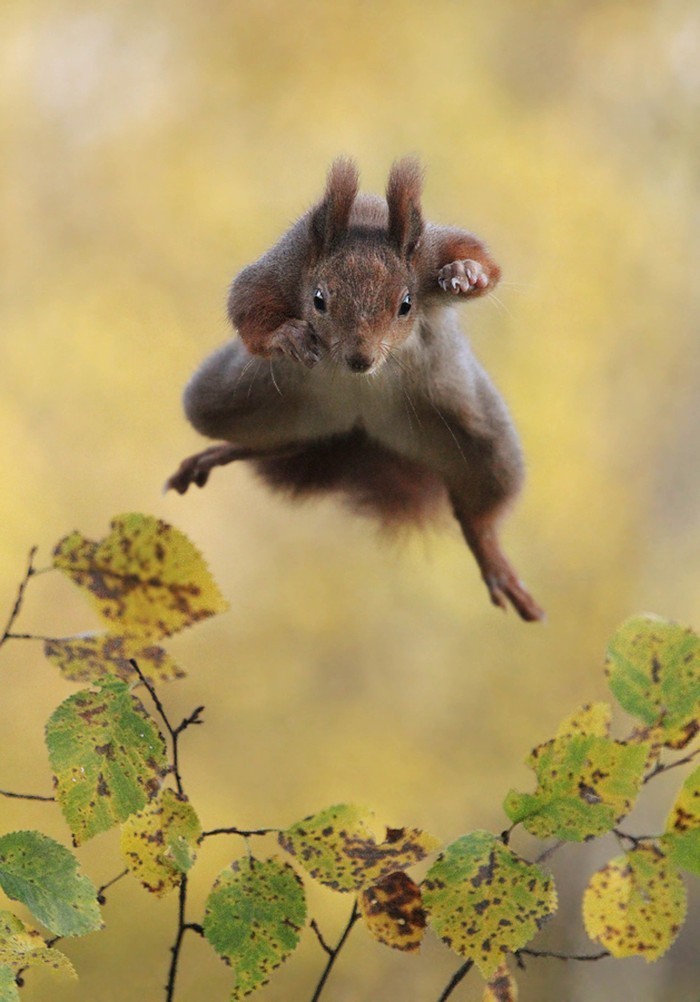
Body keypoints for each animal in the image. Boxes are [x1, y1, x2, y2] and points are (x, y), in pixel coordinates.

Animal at [167, 157, 544, 621]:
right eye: (318, 299)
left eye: (406, 305)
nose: (360, 360)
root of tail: (358, 428)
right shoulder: (285, 266)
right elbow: (246, 303)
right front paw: (286, 336)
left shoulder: (431, 251)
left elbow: (479, 257)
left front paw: (465, 273)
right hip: (228, 401)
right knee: (278, 443)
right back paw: (222, 452)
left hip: (480, 438)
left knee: (479, 511)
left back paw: (491, 556)